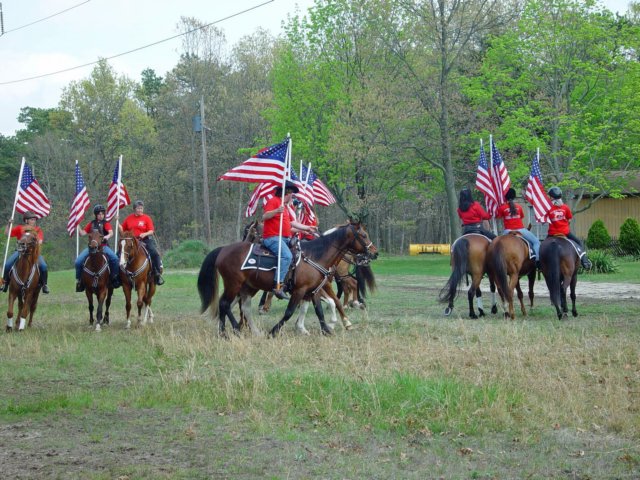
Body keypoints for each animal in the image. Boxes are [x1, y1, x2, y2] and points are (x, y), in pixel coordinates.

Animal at [195, 222, 376, 338]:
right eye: (364, 235)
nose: (375, 252)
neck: (315, 256)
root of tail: (223, 249)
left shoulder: (313, 290)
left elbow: (318, 309)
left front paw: (325, 329)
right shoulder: (301, 290)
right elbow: (290, 311)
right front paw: (274, 331)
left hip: (247, 287)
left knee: (241, 307)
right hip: (234, 284)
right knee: (225, 304)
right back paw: (232, 331)